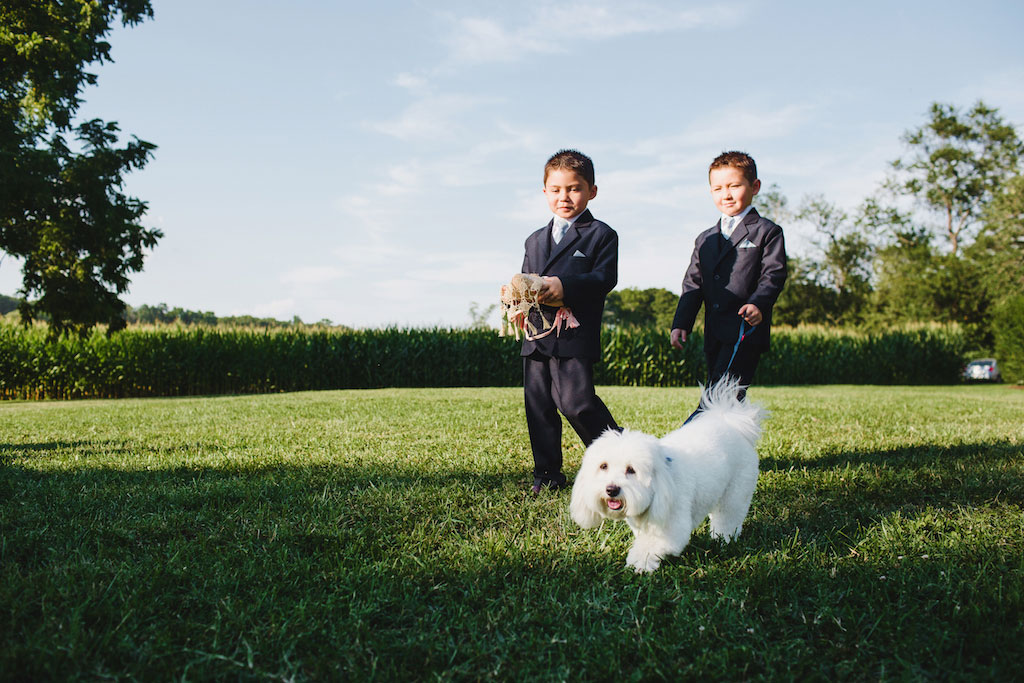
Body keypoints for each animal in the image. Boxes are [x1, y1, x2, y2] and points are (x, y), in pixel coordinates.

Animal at [573, 376, 765, 573]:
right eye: (603, 466)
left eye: (631, 470)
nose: (611, 489)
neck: (664, 476)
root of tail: (732, 423)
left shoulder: (671, 523)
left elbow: (652, 544)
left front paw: (639, 563)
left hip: (736, 491)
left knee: (728, 517)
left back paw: (723, 539)